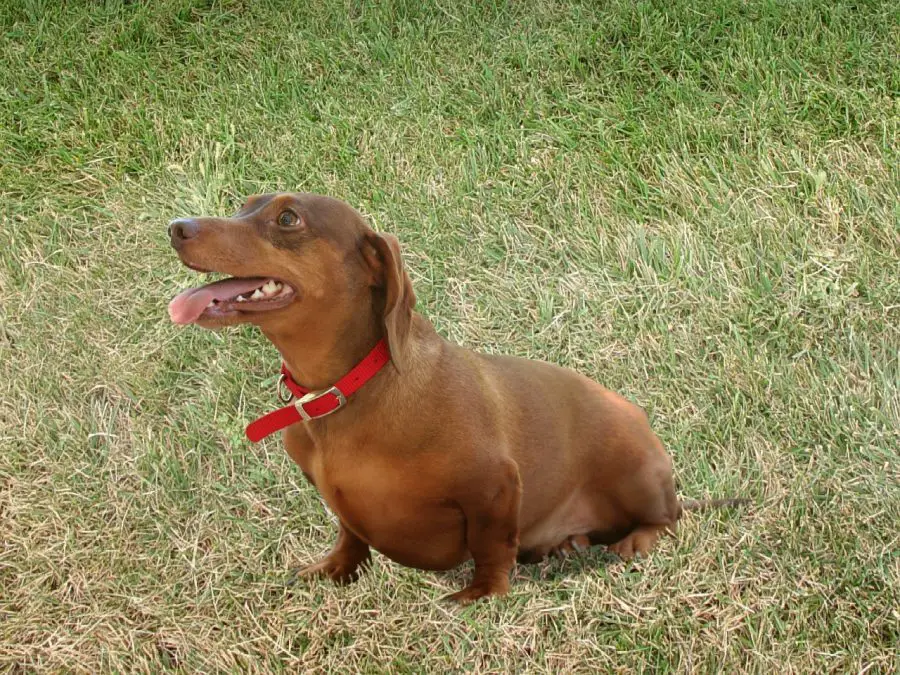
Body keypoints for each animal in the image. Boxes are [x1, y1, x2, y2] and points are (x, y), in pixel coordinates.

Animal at [171, 193, 740, 604]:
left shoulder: (494, 486)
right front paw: (334, 570)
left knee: (666, 518)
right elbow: (349, 533)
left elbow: (491, 547)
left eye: (287, 217)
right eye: (241, 203)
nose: (176, 226)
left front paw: (481, 595)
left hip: (634, 467)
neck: (346, 393)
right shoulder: (337, 501)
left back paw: (632, 540)